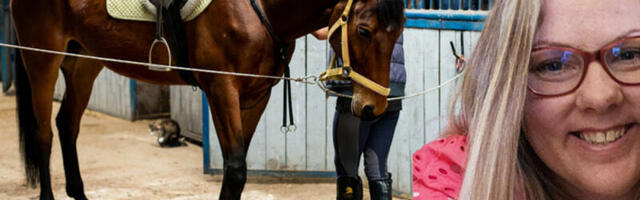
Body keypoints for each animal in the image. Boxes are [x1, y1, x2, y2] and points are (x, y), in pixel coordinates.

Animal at [10, 0, 404, 198]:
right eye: (363, 30)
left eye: (399, 31)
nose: (374, 107)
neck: (258, 7)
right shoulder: (221, 89)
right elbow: (235, 170)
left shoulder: (256, 95)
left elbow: (237, 166)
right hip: (42, 60)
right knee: (43, 135)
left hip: (84, 62)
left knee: (67, 126)